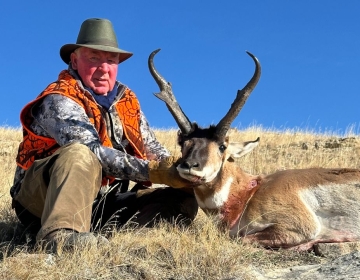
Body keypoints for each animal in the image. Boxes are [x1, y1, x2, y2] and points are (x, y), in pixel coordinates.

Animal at [149, 48, 360, 252]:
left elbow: (241, 238)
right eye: (182, 143)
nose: (189, 165)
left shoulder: (299, 226)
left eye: (222, 146)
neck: (250, 190)